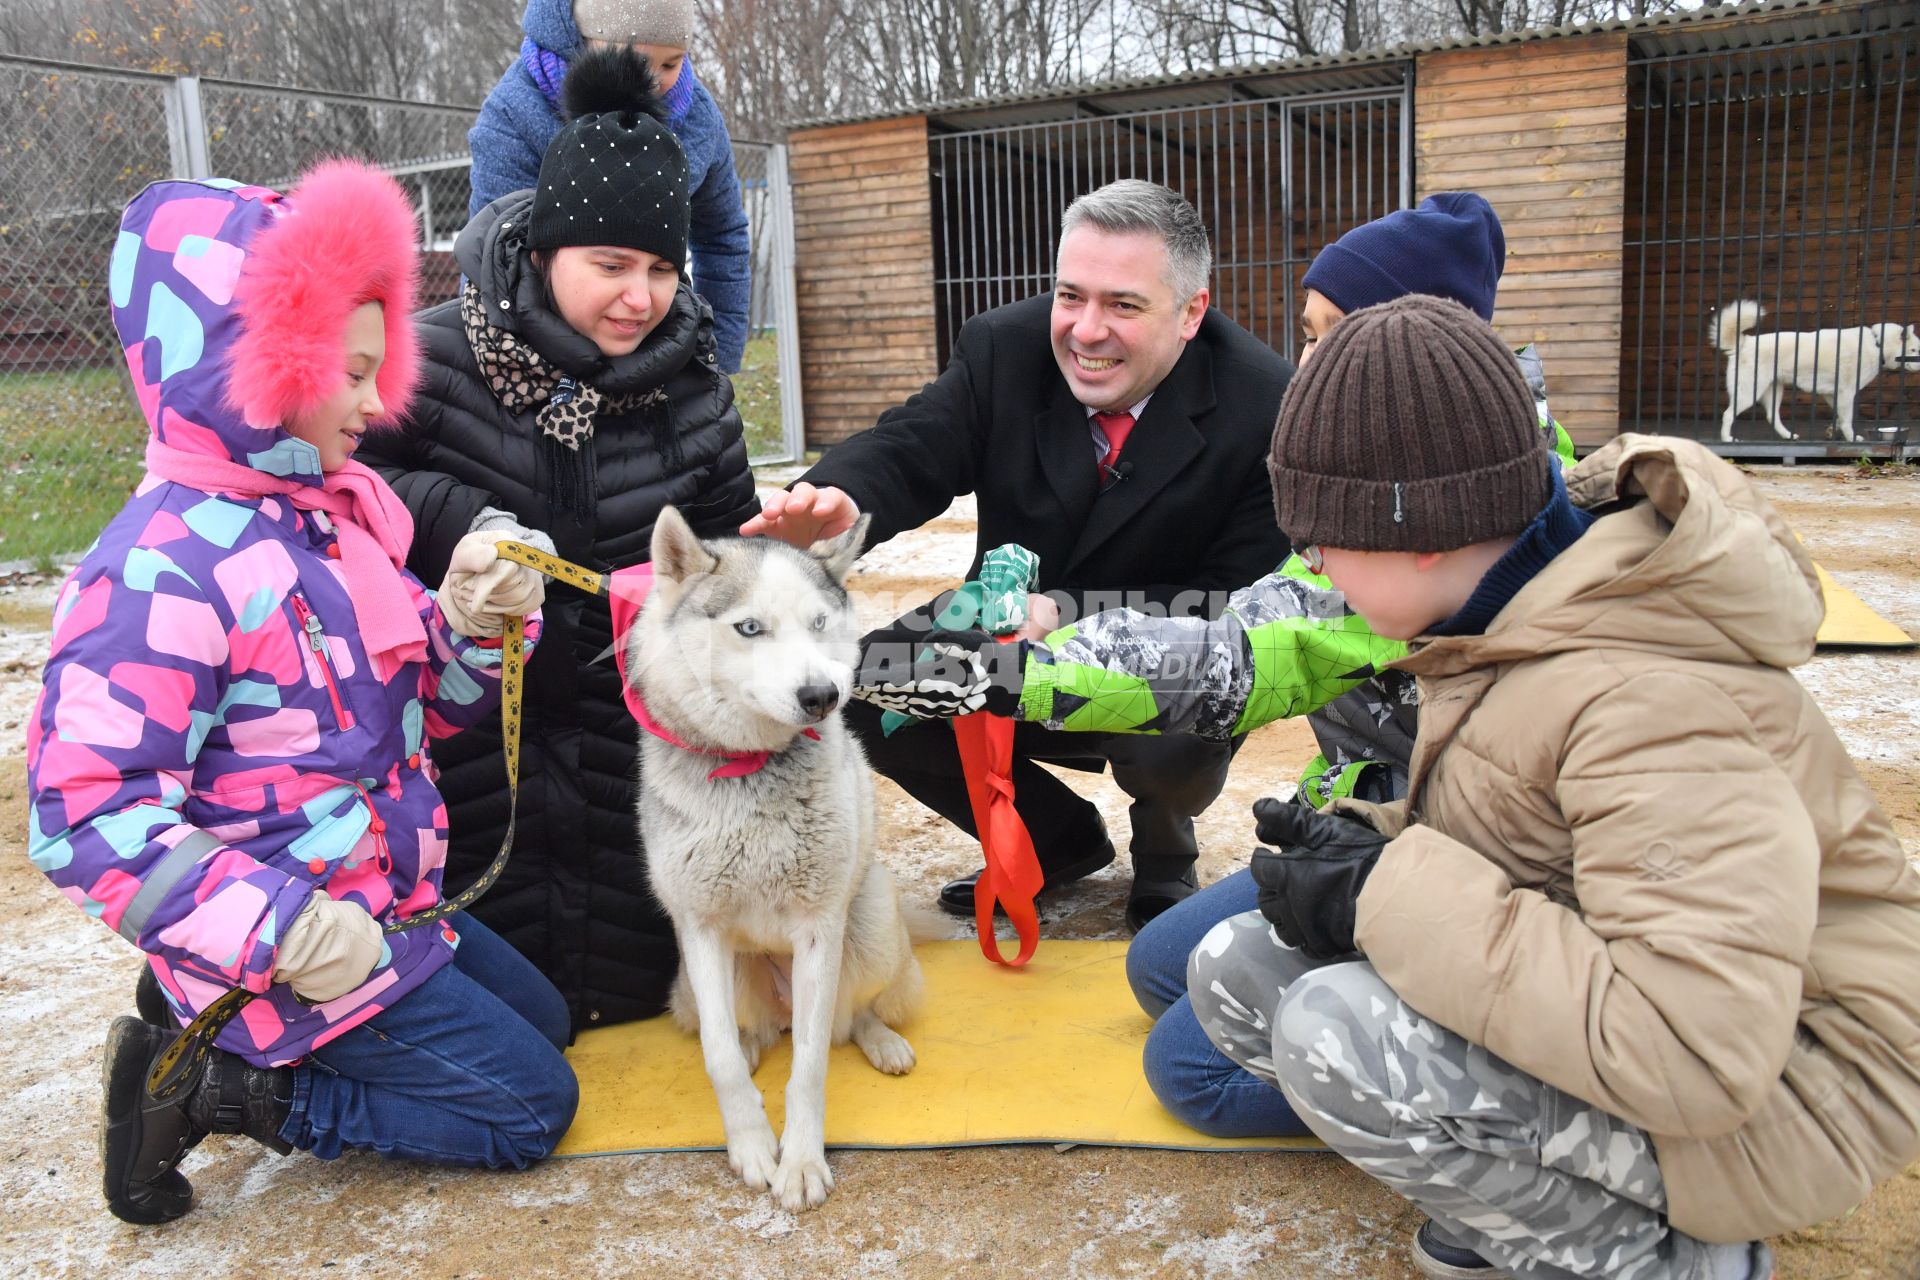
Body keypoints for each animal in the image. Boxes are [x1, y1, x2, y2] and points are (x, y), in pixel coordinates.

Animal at [633, 502, 925, 1212]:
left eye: (819, 624)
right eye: (749, 628)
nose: (822, 696)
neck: (751, 770)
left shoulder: (820, 928)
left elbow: (812, 1065)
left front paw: (801, 1162)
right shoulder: (700, 930)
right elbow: (717, 1058)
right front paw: (752, 1146)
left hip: (869, 927)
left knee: (851, 1018)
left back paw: (882, 1041)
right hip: (703, 983)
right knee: (751, 1034)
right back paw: (753, 1042)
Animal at [1720, 301, 1912, 445]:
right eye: (1914, 350)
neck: (1877, 343)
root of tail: (1745, 342)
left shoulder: (1833, 394)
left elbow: (1839, 418)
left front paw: (1833, 432)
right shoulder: (1846, 394)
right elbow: (1847, 420)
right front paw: (1852, 439)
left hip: (1774, 390)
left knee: (1771, 416)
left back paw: (1788, 436)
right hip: (1748, 393)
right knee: (1727, 414)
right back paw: (1727, 439)